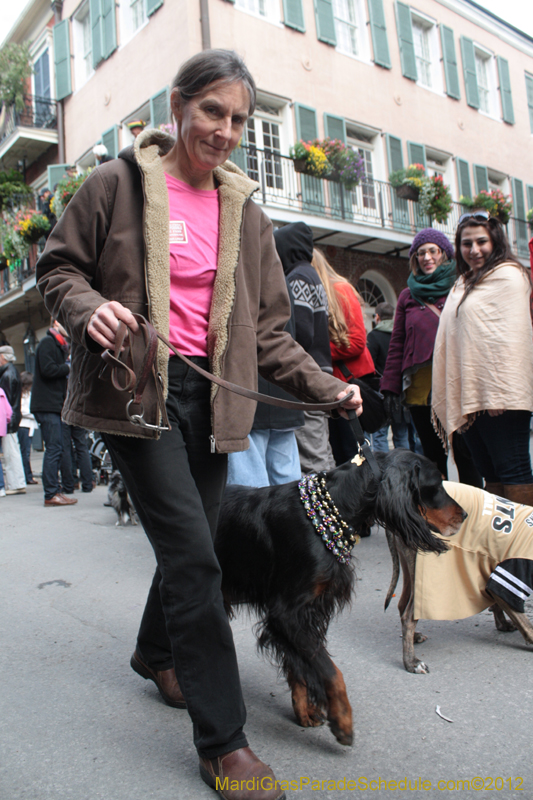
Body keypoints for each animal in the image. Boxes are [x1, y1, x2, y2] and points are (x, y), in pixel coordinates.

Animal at [214, 450, 464, 744]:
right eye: (435, 485)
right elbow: (331, 671)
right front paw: (342, 720)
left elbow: (299, 669)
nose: (464, 515)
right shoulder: (286, 613)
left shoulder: (307, 611)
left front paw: (304, 712)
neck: (335, 505)